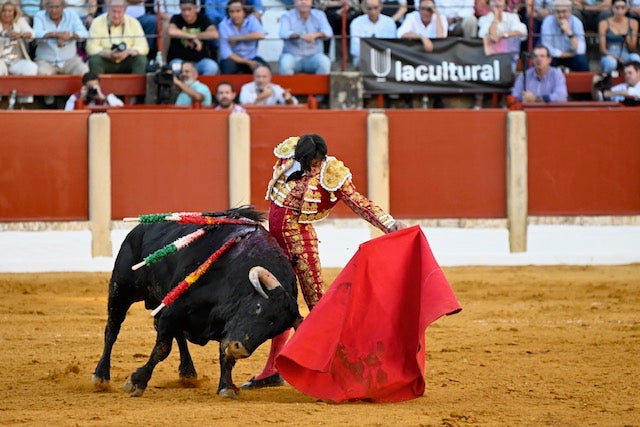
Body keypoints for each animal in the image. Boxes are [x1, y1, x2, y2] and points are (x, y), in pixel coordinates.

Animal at [92, 209, 300, 400]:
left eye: (272, 331)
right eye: (258, 307)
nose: (238, 348)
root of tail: (137, 230)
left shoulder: (220, 326)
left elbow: (224, 355)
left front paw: (226, 387)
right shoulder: (174, 309)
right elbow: (162, 349)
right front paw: (137, 381)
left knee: (178, 335)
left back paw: (188, 372)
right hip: (121, 289)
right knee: (112, 329)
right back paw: (101, 376)